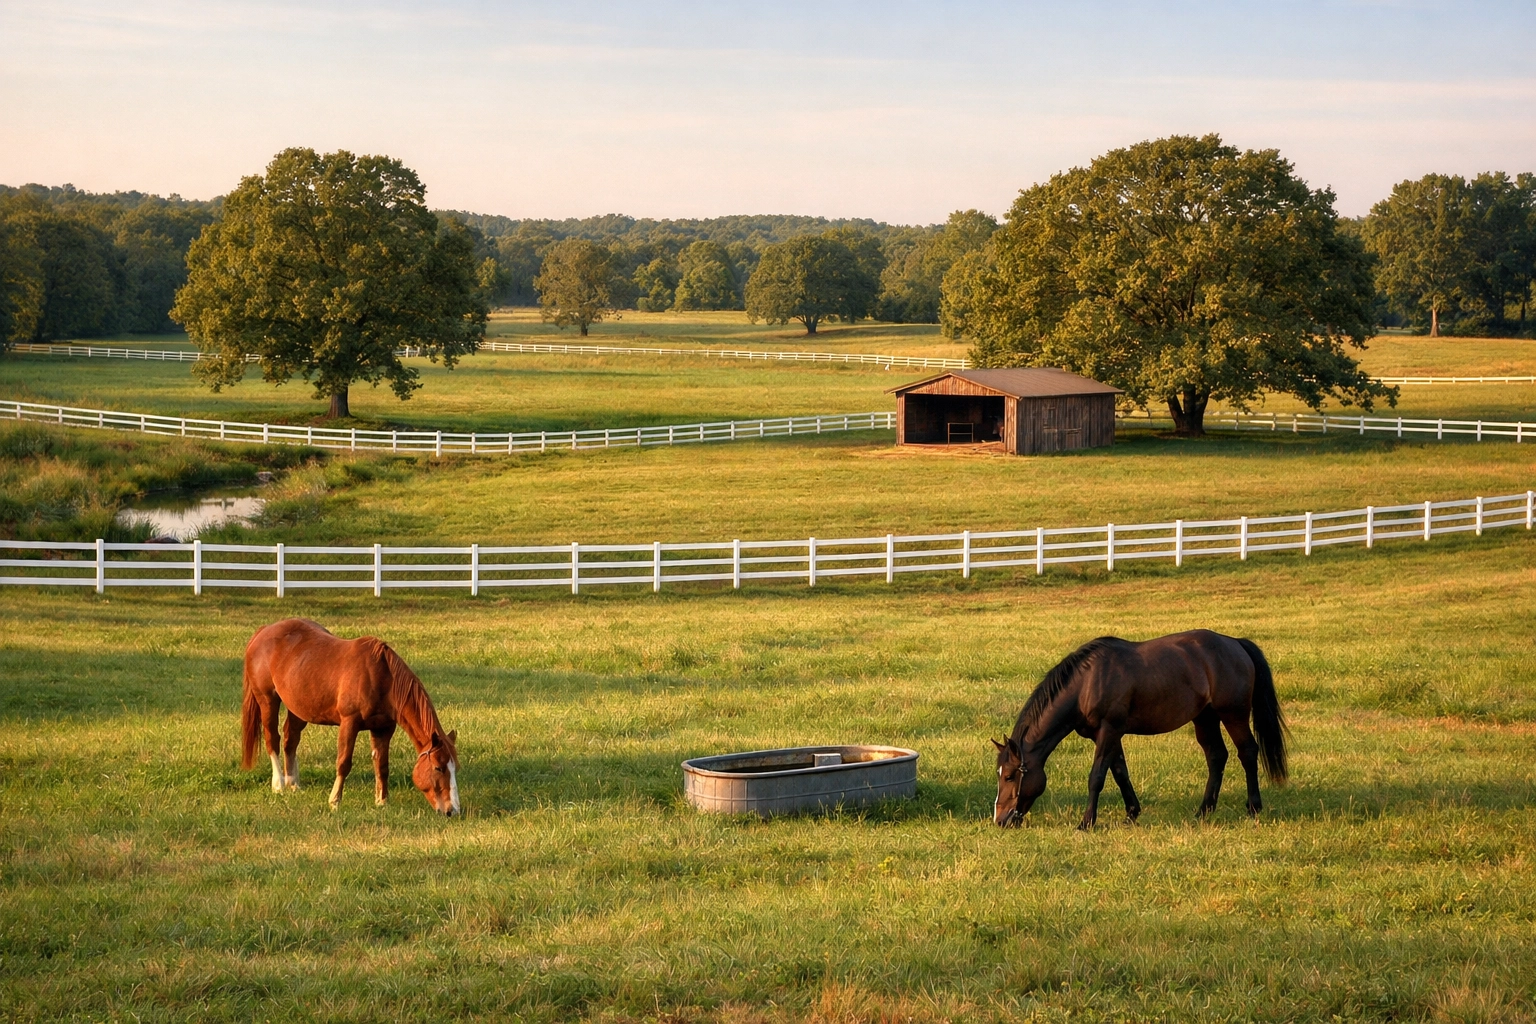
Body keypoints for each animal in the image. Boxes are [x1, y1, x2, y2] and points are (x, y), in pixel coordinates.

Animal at [240, 618, 460, 815]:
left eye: (455, 768)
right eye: (439, 768)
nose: (453, 811)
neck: (381, 677)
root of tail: (264, 631)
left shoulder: (383, 728)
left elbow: (382, 765)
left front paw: (382, 802)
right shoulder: (349, 723)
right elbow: (344, 763)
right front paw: (334, 801)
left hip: (298, 708)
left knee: (290, 740)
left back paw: (293, 784)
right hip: (267, 700)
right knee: (273, 739)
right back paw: (279, 785)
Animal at [992, 630, 1287, 830]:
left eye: (1009, 776)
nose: (1000, 819)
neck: (1086, 683)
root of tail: (1235, 642)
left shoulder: (1109, 730)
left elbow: (1097, 776)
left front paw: (1086, 823)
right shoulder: (1107, 735)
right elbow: (1120, 773)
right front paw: (1131, 813)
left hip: (1233, 715)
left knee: (1247, 752)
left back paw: (1253, 808)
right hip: (1205, 719)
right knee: (1216, 756)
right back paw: (1204, 811)